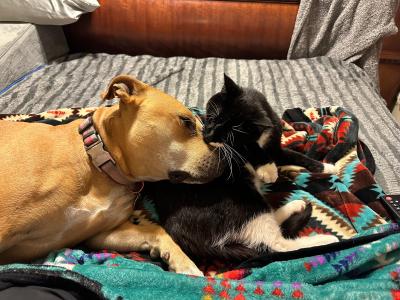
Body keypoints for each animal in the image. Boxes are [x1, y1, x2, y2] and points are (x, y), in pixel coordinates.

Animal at [0, 74, 220, 274]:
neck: (100, 164)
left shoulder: (100, 235)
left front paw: (184, 264)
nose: (224, 156)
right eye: (186, 122)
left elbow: (156, 230)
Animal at [142, 74, 340, 260]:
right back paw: (327, 239)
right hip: (247, 204)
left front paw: (328, 168)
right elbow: (249, 150)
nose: (207, 136)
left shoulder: (274, 147)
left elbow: (297, 156)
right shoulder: (230, 154)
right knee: (276, 245)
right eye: (212, 118)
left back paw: (296, 205)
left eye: (230, 136)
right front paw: (268, 170)